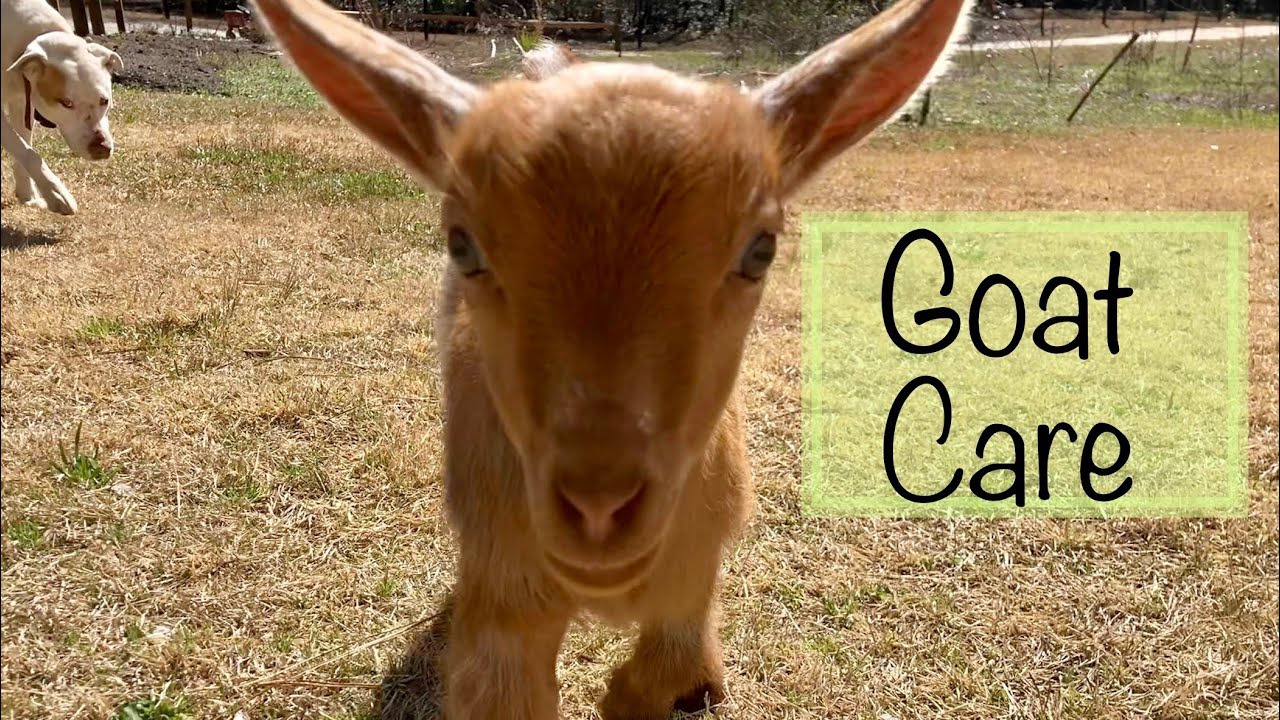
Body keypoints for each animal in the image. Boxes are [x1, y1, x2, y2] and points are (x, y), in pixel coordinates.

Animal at [250, 0, 972, 717]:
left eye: (761, 249)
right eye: (462, 244)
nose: (598, 509)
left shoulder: (697, 563)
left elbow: (665, 670)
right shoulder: (503, 589)